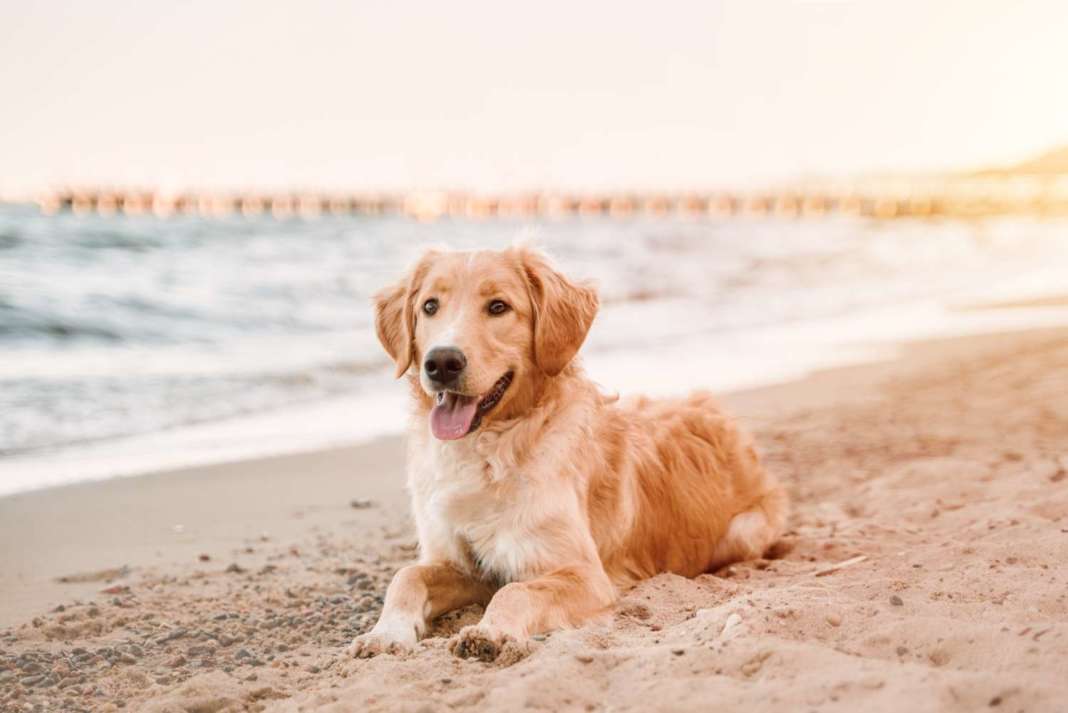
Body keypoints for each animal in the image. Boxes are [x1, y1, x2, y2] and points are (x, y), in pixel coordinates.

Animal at [348, 245, 786, 661]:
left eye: (498, 307)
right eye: (429, 306)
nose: (441, 362)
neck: (487, 449)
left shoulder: (585, 575)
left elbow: (515, 592)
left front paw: (489, 633)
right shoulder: (464, 563)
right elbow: (407, 576)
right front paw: (385, 634)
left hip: (744, 532)